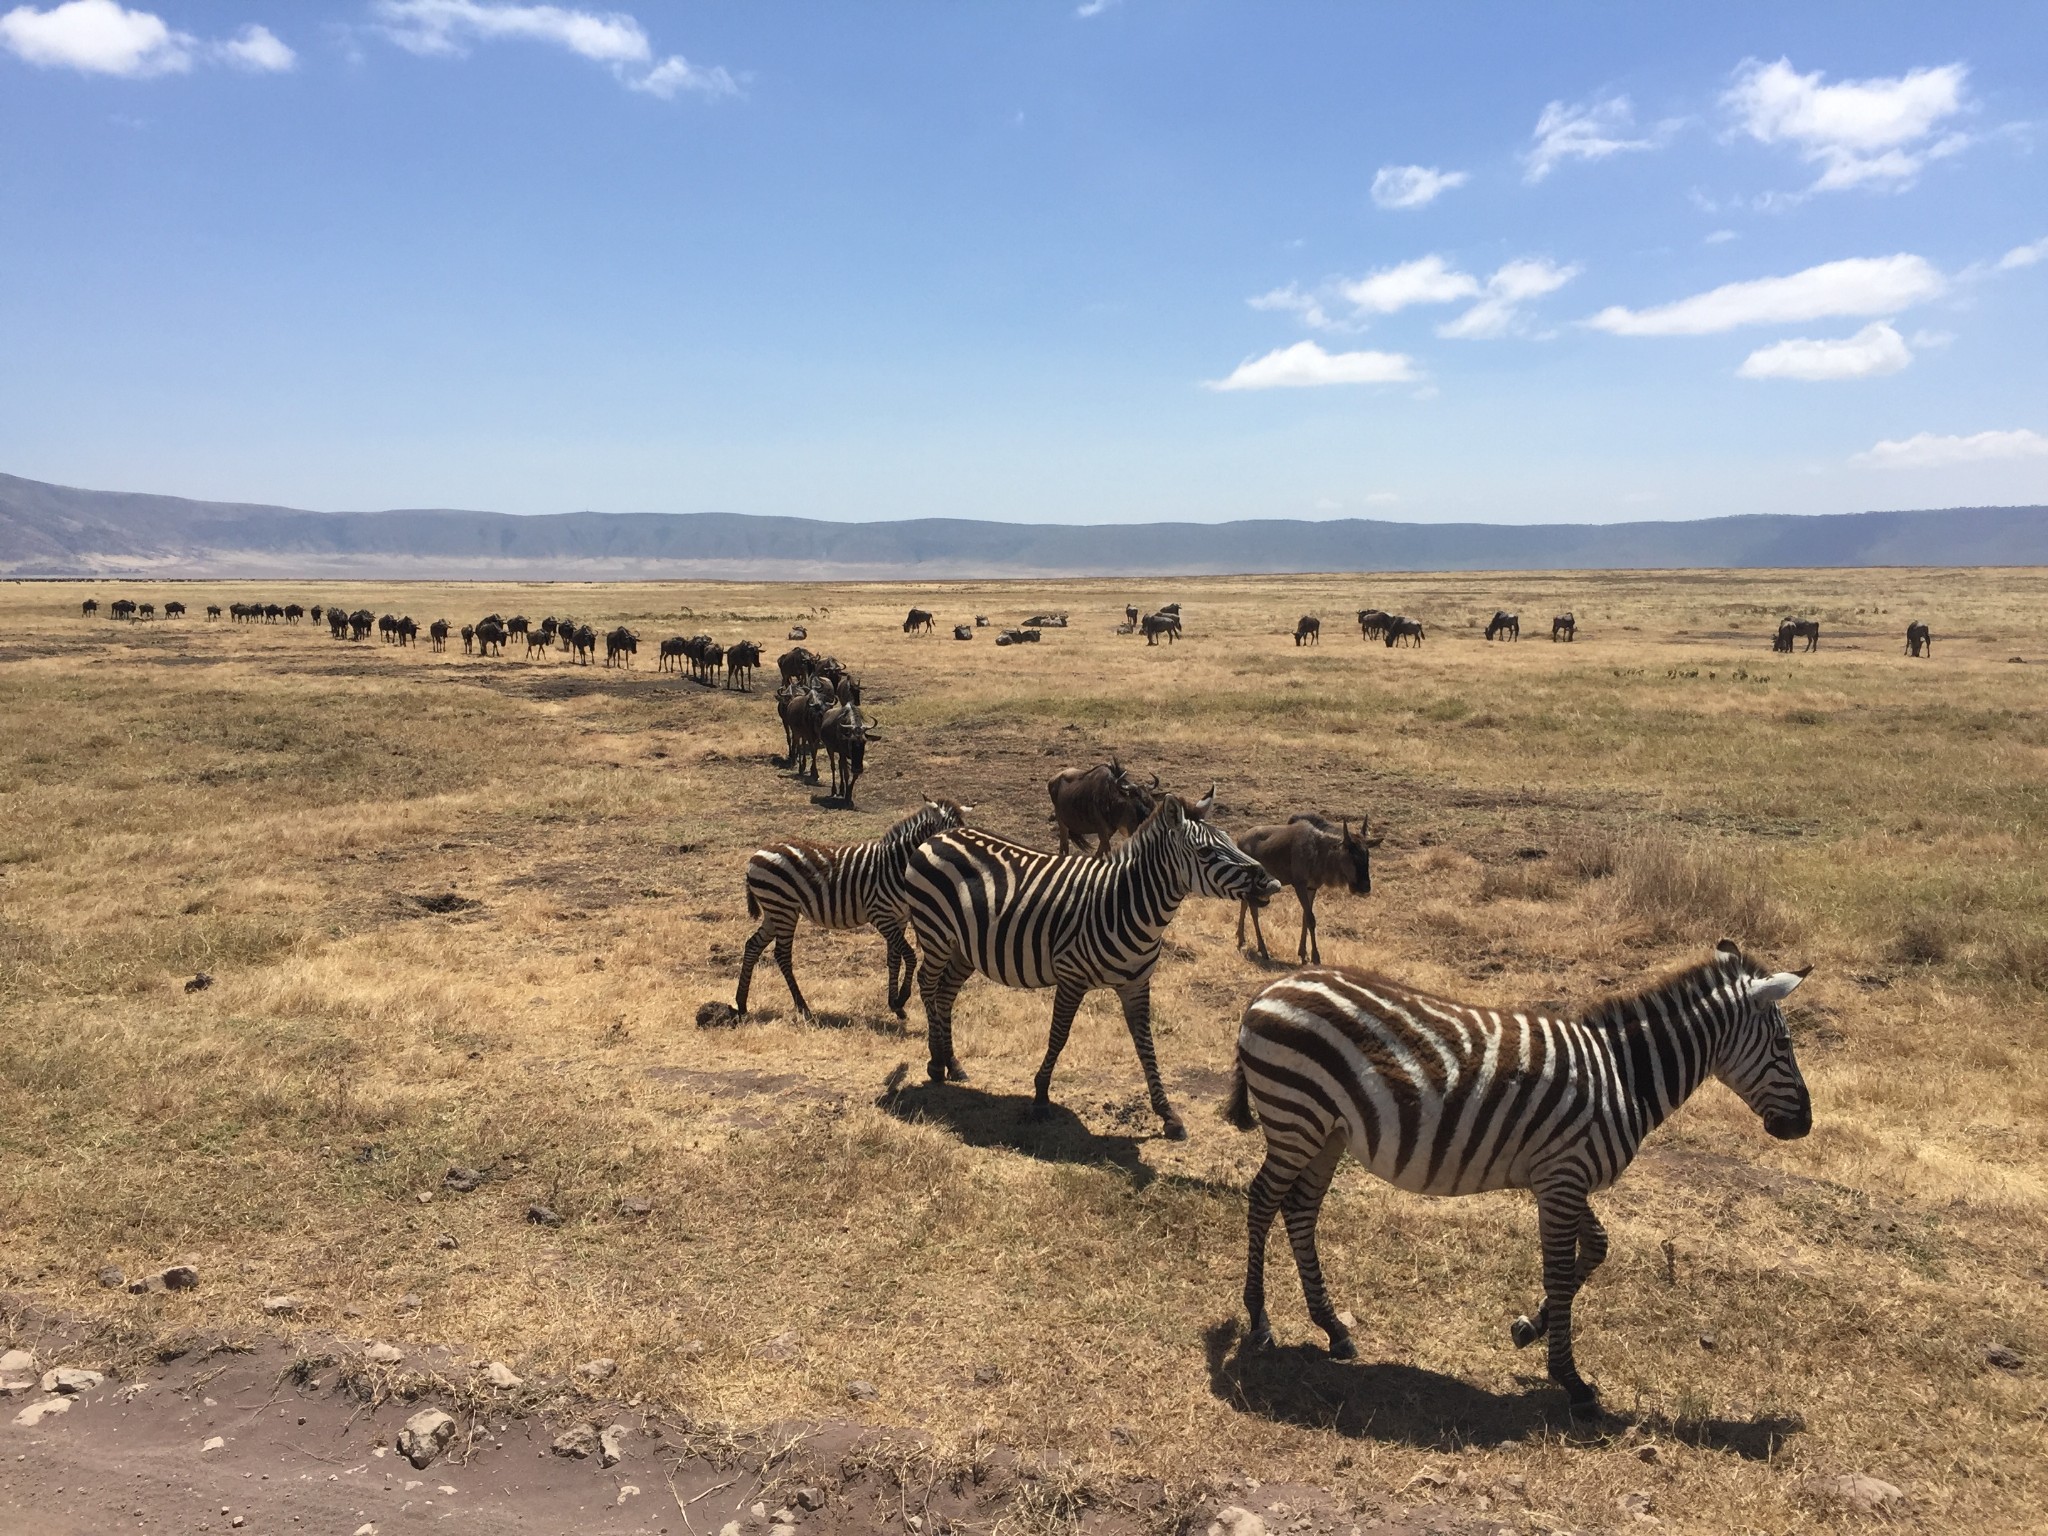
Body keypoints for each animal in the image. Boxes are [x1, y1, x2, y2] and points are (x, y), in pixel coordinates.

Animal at [733, 798, 970, 1028]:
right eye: (949, 837)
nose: (966, 867)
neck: (896, 865)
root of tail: (757, 853)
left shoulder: (899, 918)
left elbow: (894, 958)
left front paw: (895, 1005)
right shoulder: (880, 915)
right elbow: (910, 955)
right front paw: (902, 998)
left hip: (775, 911)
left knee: (753, 945)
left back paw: (741, 1004)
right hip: (783, 909)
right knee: (781, 955)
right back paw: (803, 1008)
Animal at [909, 794, 1277, 1146]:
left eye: (1229, 839)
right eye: (1205, 852)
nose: (1270, 882)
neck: (1124, 903)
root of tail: (941, 834)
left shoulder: (1136, 984)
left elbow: (1146, 1045)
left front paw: (1168, 1114)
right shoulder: (1071, 976)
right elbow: (1058, 1035)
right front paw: (1040, 1095)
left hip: (964, 948)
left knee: (945, 993)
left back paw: (952, 1063)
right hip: (935, 932)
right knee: (927, 984)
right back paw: (935, 1062)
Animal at [1212, 933, 1810, 1417]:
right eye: (1784, 1045)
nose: (1803, 1124)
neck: (1623, 1075)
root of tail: (1271, 987)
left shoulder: (1561, 1175)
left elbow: (1596, 1248)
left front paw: (1529, 1329)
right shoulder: (1564, 1177)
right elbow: (1561, 1272)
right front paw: (1572, 1382)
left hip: (1326, 1132)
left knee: (1300, 1210)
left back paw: (1332, 1328)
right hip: (1297, 1116)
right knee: (1263, 1200)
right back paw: (1260, 1320)